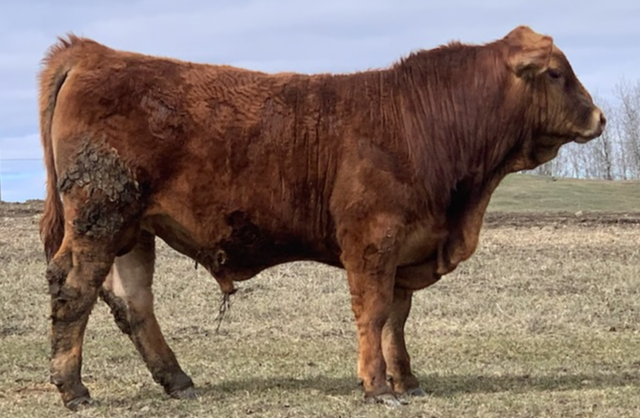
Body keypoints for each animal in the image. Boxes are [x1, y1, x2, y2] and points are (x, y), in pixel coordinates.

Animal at [38, 25, 605, 409]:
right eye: (557, 73)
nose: (599, 118)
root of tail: (94, 53)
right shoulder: (372, 241)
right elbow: (372, 313)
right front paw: (377, 387)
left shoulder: (403, 250)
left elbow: (396, 317)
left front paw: (407, 380)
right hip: (97, 220)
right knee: (74, 288)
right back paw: (73, 388)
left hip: (133, 230)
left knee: (134, 304)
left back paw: (177, 381)